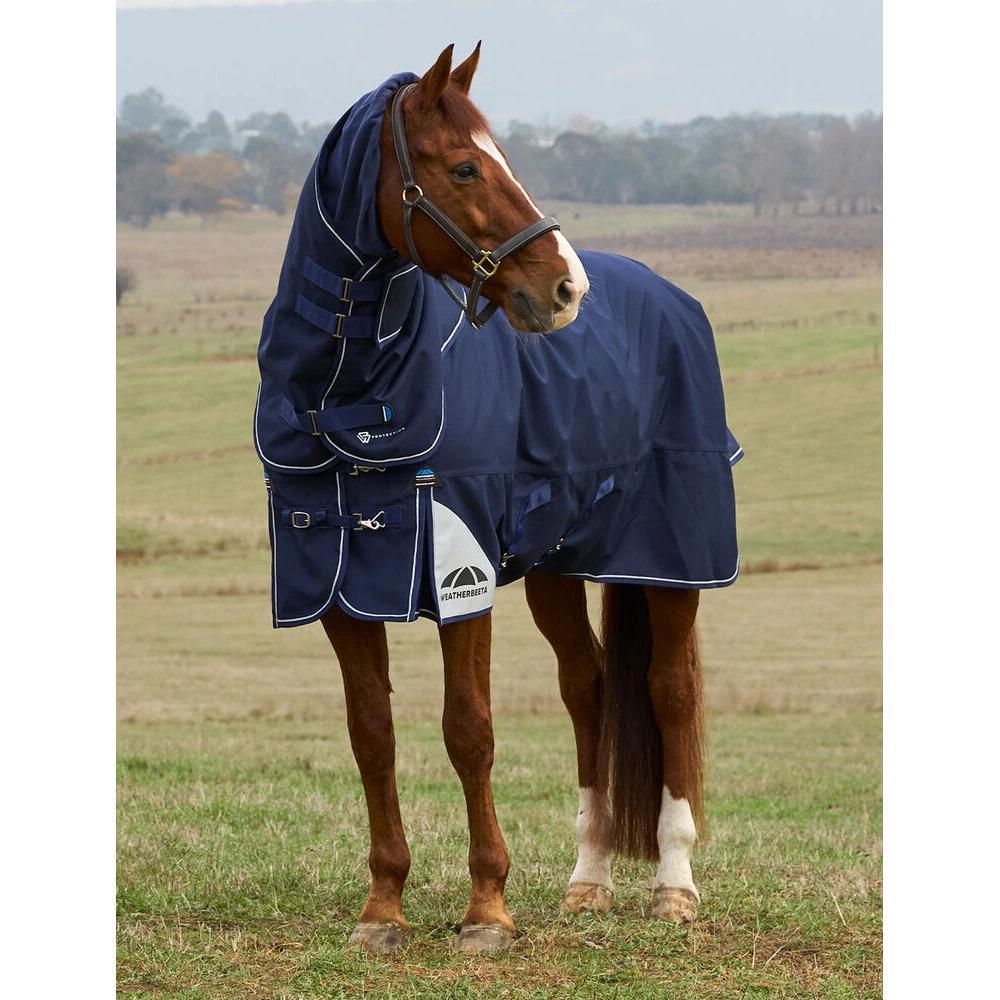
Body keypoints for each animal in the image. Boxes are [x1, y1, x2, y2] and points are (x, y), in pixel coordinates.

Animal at [254, 43, 741, 955]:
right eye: (465, 166)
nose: (565, 290)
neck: (347, 392)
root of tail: (670, 299)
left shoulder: (460, 567)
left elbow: (468, 731)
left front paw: (487, 909)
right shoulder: (337, 576)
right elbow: (372, 735)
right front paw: (383, 907)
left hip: (669, 562)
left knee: (669, 692)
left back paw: (674, 885)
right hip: (557, 566)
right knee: (589, 689)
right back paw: (589, 879)